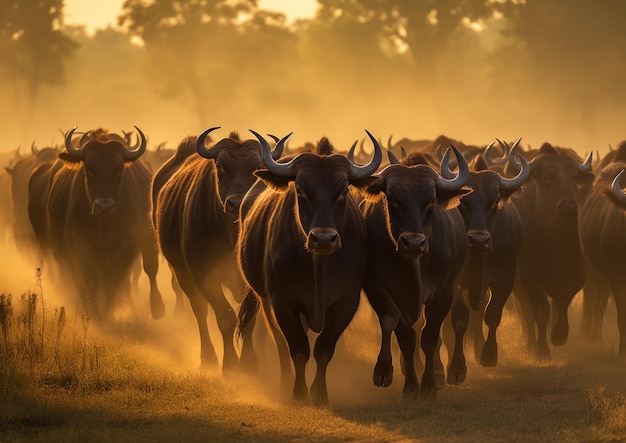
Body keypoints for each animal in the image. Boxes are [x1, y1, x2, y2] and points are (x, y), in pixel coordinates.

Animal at [27, 126, 163, 320]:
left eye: (119, 170)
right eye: (89, 170)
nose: (104, 206)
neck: (103, 225)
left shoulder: (127, 245)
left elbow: (114, 279)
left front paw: (108, 308)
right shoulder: (79, 245)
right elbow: (88, 278)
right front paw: (94, 312)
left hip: (148, 239)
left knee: (150, 268)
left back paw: (156, 308)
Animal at [154, 129, 286, 374]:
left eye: (256, 169)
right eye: (221, 167)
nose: (236, 203)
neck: (231, 233)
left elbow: (248, 320)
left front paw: (250, 361)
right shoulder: (204, 276)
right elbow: (225, 317)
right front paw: (231, 365)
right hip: (182, 273)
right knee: (199, 310)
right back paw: (207, 357)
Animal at [235, 130, 378, 404]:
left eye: (344, 191)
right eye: (300, 190)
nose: (323, 238)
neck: (318, 268)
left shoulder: (347, 302)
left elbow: (324, 349)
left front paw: (320, 394)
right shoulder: (282, 301)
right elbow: (298, 348)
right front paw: (299, 393)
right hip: (265, 301)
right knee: (280, 342)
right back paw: (284, 382)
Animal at [360, 146, 468, 398]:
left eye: (431, 200)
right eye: (392, 199)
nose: (413, 243)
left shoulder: (444, 292)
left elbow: (430, 337)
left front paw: (429, 385)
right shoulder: (379, 289)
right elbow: (403, 335)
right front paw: (405, 383)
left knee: (459, 319)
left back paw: (450, 370)